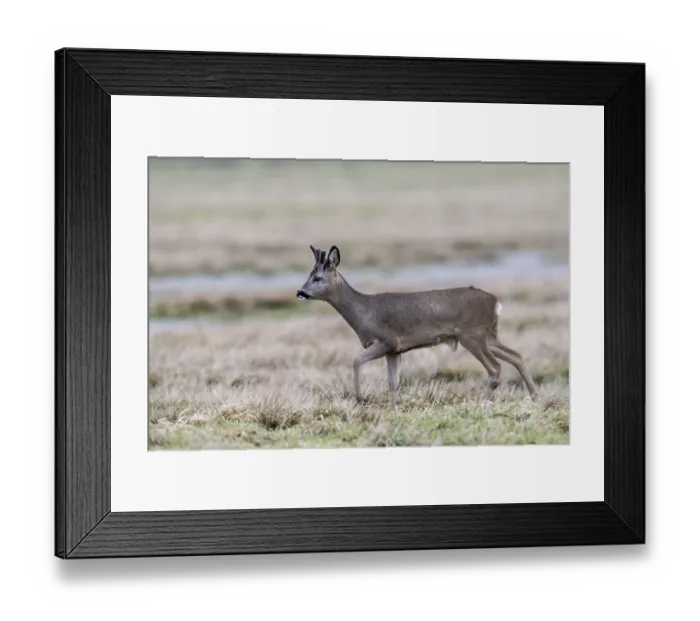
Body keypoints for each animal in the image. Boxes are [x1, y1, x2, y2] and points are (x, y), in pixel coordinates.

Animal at [296, 245, 539, 410]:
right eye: (308, 276)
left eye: (317, 278)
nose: (300, 292)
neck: (363, 312)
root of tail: (495, 302)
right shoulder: (395, 350)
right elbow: (393, 381)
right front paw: (393, 410)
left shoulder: (386, 341)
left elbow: (356, 361)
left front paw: (360, 399)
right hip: (488, 335)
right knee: (516, 355)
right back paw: (535, 397)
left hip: (472, 335)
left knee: (495, 368)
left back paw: (483, 404)